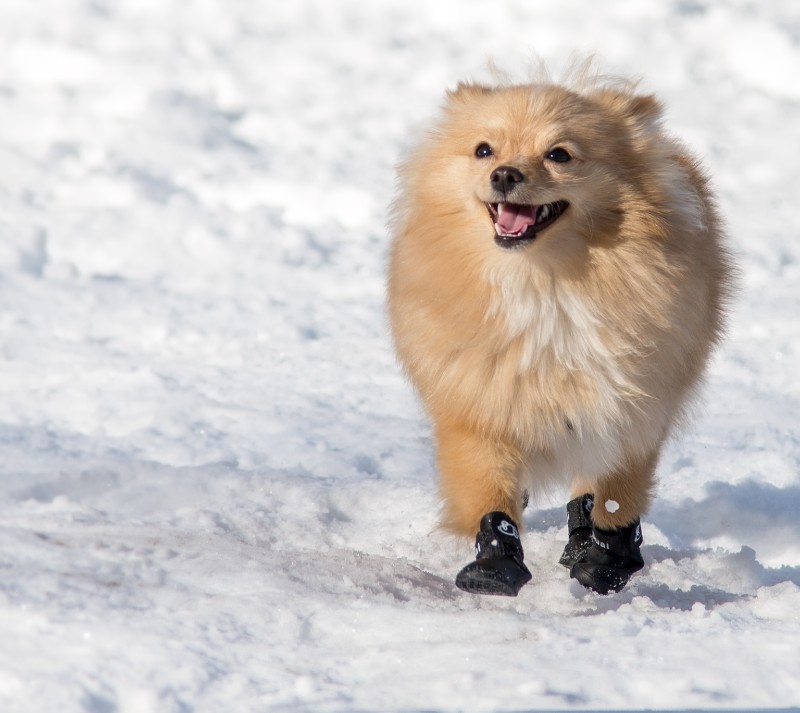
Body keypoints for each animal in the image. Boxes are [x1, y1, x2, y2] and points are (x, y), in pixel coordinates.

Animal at [388, 68, 732, 596]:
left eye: (559, 154)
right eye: (484, 150)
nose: (505, 174)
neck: (544, 281)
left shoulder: (631, 403)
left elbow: (617, 493)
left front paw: (609, 555)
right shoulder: (478, 402)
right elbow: (487, 487)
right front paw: (495, 561)